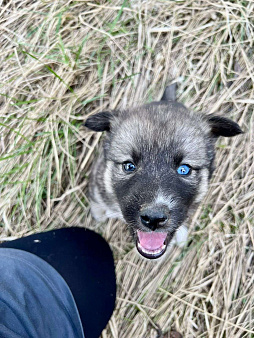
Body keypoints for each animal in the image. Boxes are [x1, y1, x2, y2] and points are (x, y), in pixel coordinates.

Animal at [84, 86, 243, 260]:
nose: (153, 219)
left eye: (184, 169)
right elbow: (97, 203)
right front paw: (98, 216)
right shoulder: (97, 185)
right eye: (129, 166)